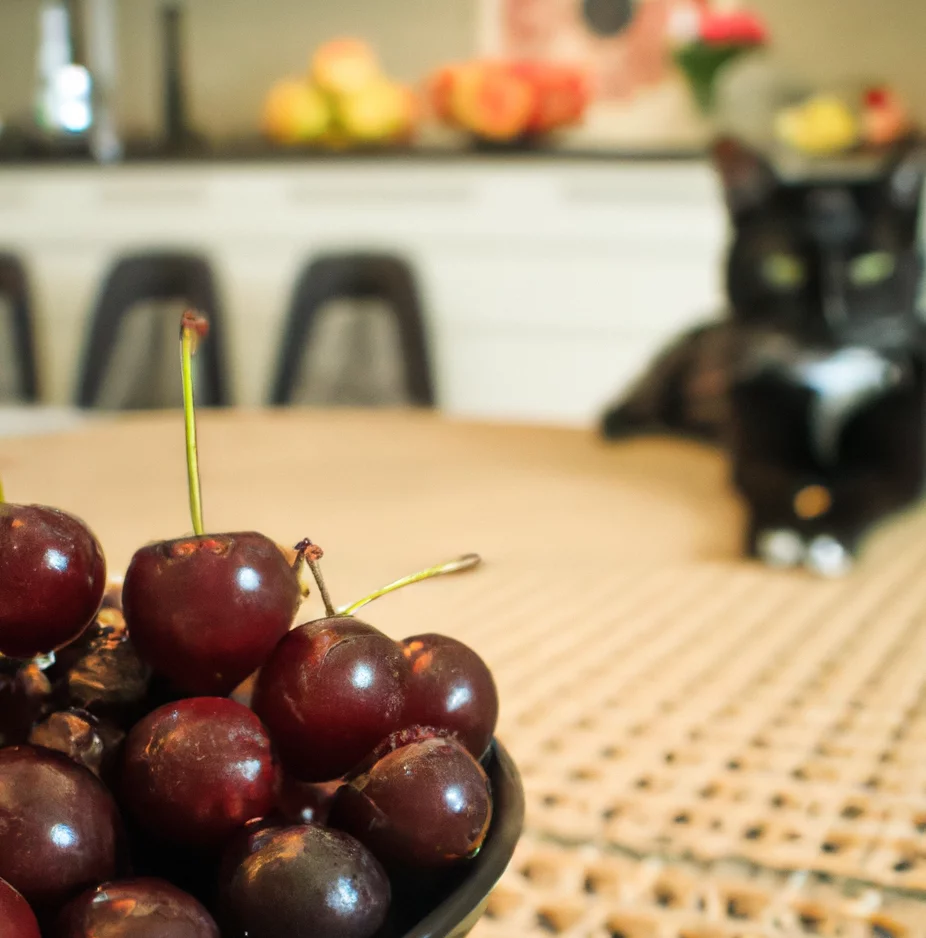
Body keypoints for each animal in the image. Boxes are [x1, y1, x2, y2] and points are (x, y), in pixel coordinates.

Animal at [600, 135, 926, 576]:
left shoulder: (902, 464)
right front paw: (780, 533)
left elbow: (868, 490)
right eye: (781, 269)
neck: (830, 380)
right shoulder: (754, 448)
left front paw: (829, 535)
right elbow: (768, 483)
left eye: (872, 266)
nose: (826, 327)